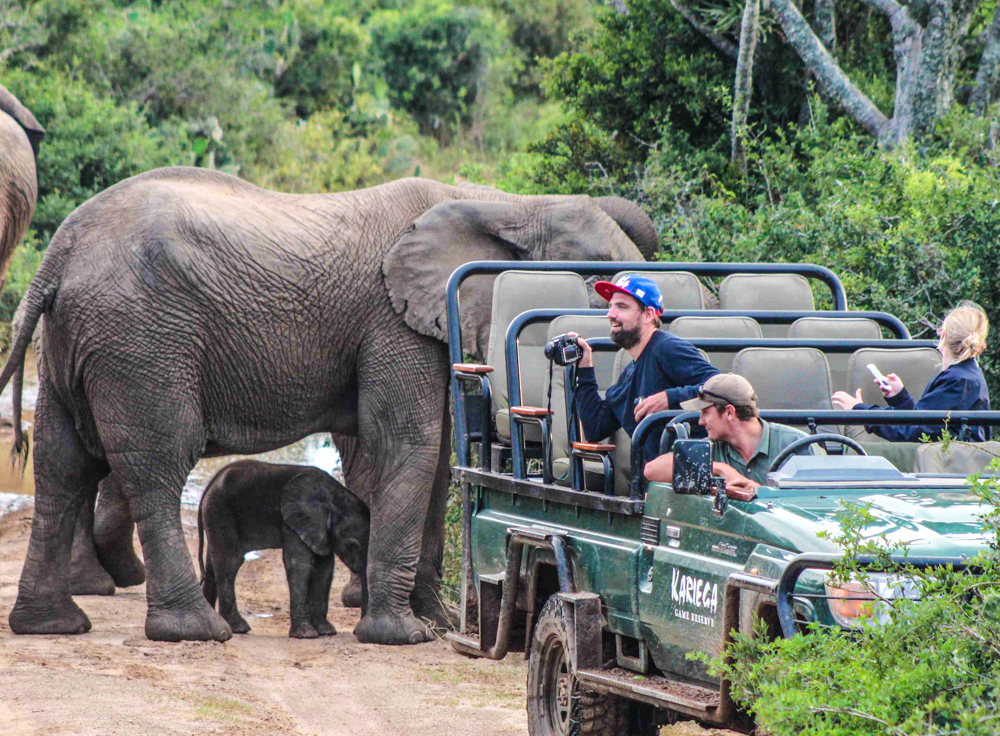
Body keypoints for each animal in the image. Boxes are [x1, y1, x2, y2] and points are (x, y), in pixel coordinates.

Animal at [197, 460, 370, 640]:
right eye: (351, 545)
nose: (355, 631)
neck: (333, 496)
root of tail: (211, 484)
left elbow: (325, 568)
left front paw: (326, 632)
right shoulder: (292, 521)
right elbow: (300, 565)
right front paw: (306, 635)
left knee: (212, 566)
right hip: (220, 510)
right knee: (230, 562)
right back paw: (239, 628)